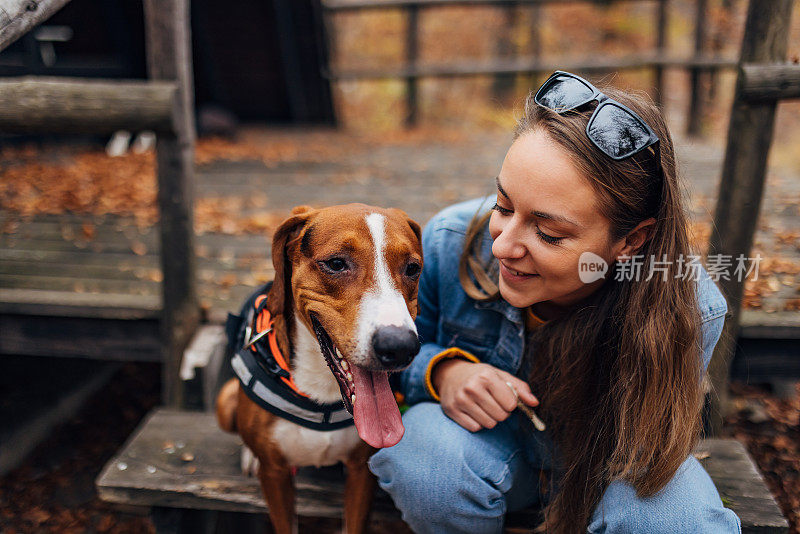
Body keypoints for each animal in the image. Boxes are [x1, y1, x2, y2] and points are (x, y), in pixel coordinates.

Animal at [216, 203, 422, 532]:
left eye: (412, 268)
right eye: (336, 263)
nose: (400, 346)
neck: (321, 389)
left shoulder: (361, 471)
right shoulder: (275, 474)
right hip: (225, 402)